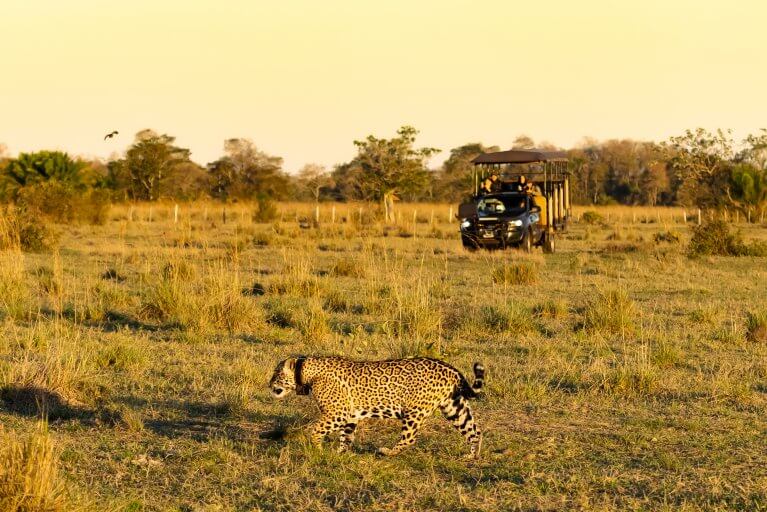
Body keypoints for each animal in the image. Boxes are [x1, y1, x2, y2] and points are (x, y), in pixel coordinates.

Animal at [268, 356, 485, 458]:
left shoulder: (337, 413)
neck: (306, 372)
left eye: (276, 374)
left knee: (409, 438)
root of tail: (451, 368)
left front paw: (317, 448)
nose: (269, 384)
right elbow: (346, 437)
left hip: (414, 411)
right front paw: (340, 454)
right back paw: (472, 455)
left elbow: (316, 429)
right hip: (454, 407)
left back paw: (386, 452)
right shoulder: (350, 416)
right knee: (474, 430)